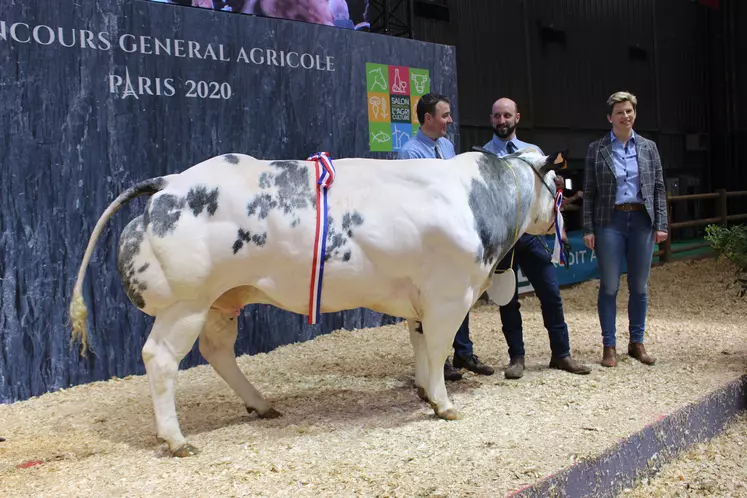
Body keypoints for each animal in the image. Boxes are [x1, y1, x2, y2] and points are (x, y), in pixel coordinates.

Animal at [70, 146, 564, 458]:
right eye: (558, 182)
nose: (566, 204)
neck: (478, 198)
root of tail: (169, 182)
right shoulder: (449, 295)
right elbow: (439, 347)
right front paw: (443, 405)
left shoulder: (419, 300)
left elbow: (421, 347)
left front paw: (424, 389)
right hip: (186, 302)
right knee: (160, 358)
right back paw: (177, 441)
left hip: (221, 301)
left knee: (217, 351)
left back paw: (261, 404)